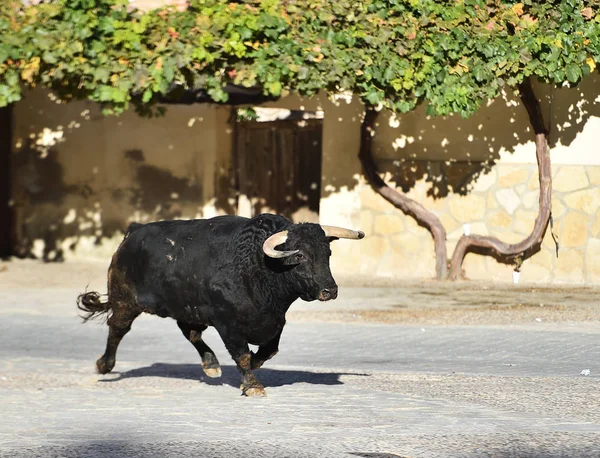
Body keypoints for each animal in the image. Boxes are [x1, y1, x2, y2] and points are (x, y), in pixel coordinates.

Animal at [77, 213, 364, 396]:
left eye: (327, 253)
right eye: (300, 255)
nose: (330, 291)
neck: (256, 266)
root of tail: (133, 231)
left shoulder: (276, 321)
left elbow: (269, 349)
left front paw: (255, 366)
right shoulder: (228, 324)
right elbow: (243, 354)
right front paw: (252, 386)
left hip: (188, 307)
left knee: (191, 333)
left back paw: (211, 365)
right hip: (125, 300)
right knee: (117, 328)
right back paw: (105, 365)